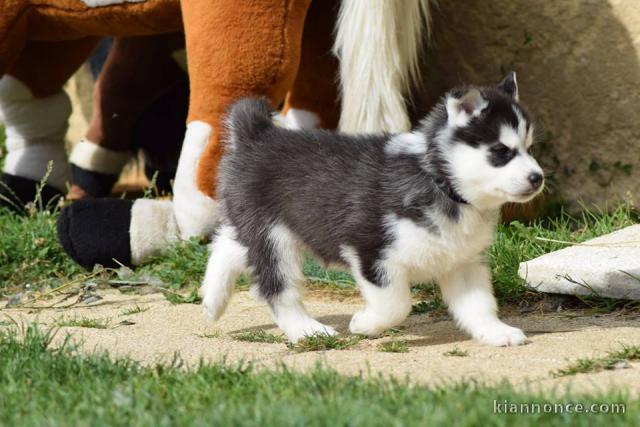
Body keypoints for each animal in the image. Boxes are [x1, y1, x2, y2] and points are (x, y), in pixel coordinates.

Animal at [202, 73, 544, 346]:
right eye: (501, 151)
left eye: (529, 149)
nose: (537, 178)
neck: (439, 182)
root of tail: (259, 135)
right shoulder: (371, 250)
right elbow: (397, 304)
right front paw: (364, 325)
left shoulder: (463, 261)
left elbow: (480, 304)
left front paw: (496, 331)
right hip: (274, 238)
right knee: (278, 289)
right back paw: (308, 331)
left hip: (262, 229)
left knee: (226, 245)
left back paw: (211, 301)